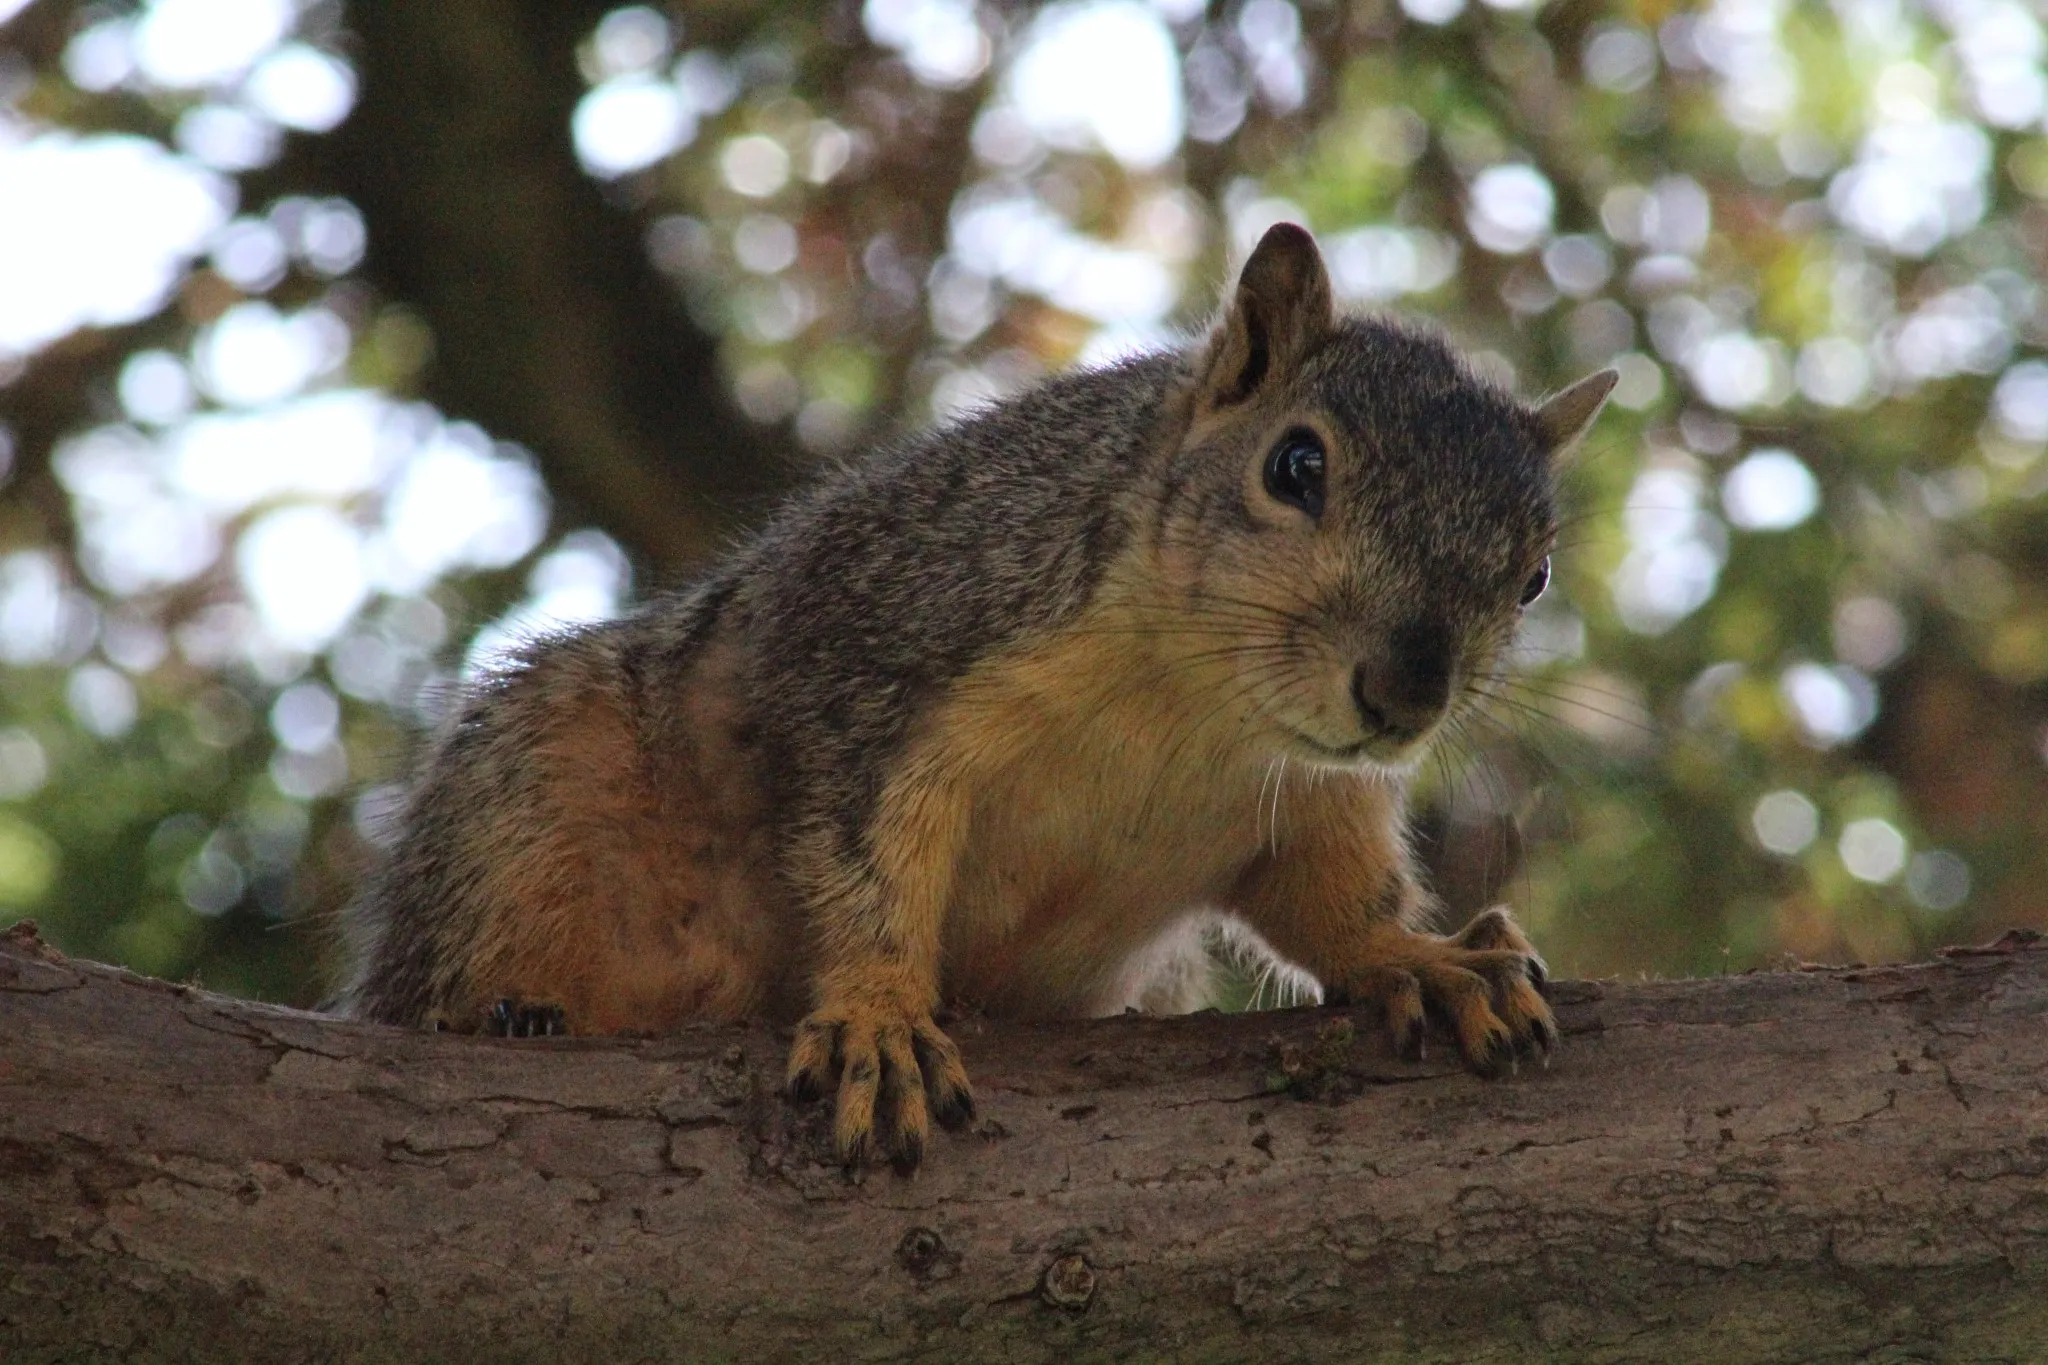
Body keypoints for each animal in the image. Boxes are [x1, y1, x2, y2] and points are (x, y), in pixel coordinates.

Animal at [336, 223, 1618, 1172]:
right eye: (1293, 466)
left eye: (1533, 573)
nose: (1402, 694)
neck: (1194, 707)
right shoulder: (877, 660)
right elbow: (865, 866)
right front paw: (880, 1016)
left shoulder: (1307, 803)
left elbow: (1332, 905)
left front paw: (1423, 958)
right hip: (538, 792)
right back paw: (495, 1010)